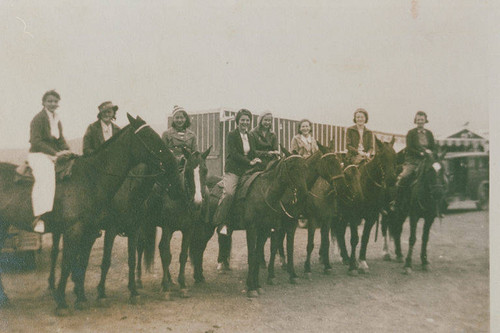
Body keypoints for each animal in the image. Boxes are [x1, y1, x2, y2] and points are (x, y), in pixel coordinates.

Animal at [0, 114, 183, 314]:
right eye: (149, 137)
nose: (174, 163)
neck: (90, 179)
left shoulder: (98, 230)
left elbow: (87, 262)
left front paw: (82, 296)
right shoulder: (80, 230)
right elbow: (70, 262)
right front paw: (64, 302)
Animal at [137, 146, 213, 298]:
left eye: (205, 170)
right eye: (188, 171)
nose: (197, 202)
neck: (179, 194)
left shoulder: (188, 229)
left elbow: (182, 255)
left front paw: (182, 285)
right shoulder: (167, 227)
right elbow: (166, 255)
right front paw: (165, 288)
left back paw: (169, 280)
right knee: (141, 246)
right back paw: (139, 281)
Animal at [188, 153, 308, 296]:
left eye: (305, 166)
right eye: (291, 166)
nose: (304, 192)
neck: (264, 193)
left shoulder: (264, 230)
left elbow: (257, 256)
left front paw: (257, 285)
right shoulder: (252, 229)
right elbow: (251, 256)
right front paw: (251, 288)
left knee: (199, 248)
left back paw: (200, 276)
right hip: (204, 227)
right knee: (198, 248)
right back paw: (198, 276)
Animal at [332, 136, 398, 274]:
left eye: (394, 155)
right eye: (382, 155)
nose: (391, 179)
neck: (366, 185)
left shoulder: (371, 217)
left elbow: (365, 238)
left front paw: (362, 262)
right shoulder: (353, 216)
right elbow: (354, 239)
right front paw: (353, 265)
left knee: (340, 231)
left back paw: (345, 257)